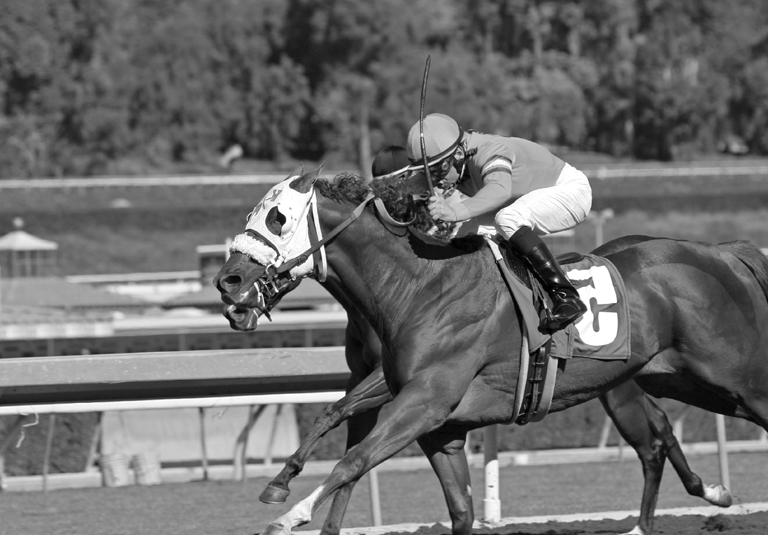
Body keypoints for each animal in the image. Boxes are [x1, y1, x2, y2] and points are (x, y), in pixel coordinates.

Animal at [212, 170, 768, 535]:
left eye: (279, 218)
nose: (227, 281)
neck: (418, 285)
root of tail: (722, 251)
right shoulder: (430, 419)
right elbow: (342, 417)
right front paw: (280, 482)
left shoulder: (425, 402)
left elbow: (352, 462)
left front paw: (290, 515)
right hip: (676, 379)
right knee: (660, 438)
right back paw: (698, 499)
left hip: (734, 379)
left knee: (663, 440)